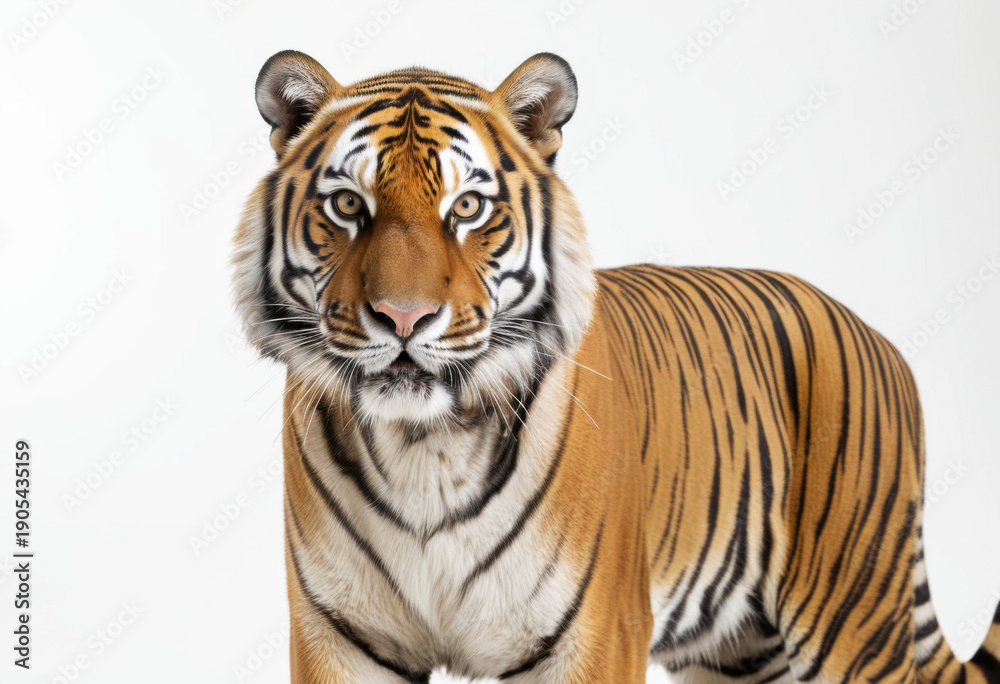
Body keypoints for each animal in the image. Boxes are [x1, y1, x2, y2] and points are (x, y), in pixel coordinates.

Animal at [231, 49, 1000, 683]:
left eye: (469, 207)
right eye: (347, 205)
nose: (402, 318)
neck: (426, 444)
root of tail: (879, 336)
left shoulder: (595, 635)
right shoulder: (338, 636)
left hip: (851, 620)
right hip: (743, 650)